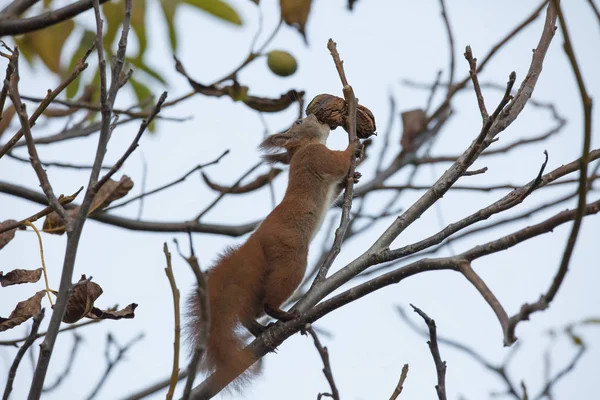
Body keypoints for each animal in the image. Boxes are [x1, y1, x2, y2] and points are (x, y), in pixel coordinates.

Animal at [188, 112, 358, 390]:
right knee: (268, 302)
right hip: (292, 261)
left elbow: (334, 191)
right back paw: (284, 315)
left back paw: (259, 329)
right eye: (299, 122)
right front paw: (353, 148)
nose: (314, 114)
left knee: (250, 310)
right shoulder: (317, 157)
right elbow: (337, 163)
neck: (304, 146)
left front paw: (351, 180)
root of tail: (254, 241)